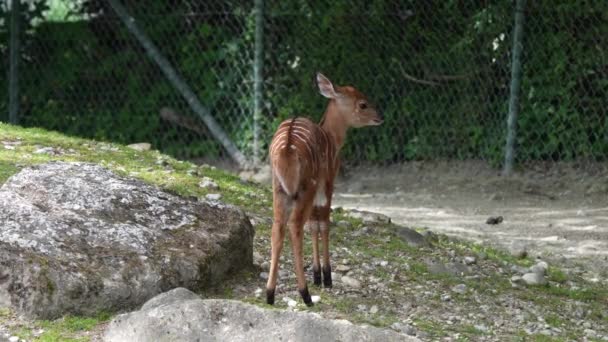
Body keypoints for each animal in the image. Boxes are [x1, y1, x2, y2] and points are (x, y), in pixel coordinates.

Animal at [264, 72, 380, 304]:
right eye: (363, 104)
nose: (379, 117)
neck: (332, 138)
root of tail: (286, 148)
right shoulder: (327, 182)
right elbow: (323, 222)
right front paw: (326, 277)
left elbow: (314, 224)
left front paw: (317, 275)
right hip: (306, 187)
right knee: (295, 225)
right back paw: (305, 294)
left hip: (279, 188)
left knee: (278, 226)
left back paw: (270, 294)